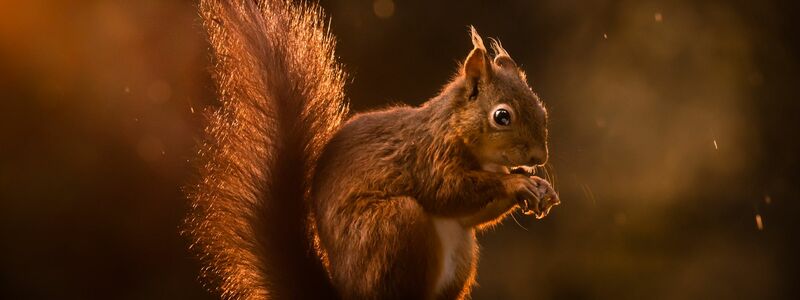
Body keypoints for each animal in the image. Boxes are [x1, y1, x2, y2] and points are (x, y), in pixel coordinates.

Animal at [184, 0, 560, 300]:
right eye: (502, 116)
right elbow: (447, 191)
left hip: (459, 254)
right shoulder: (429, 156)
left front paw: (538, 186)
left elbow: (470, 215)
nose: (539, 158)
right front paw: (518, 183)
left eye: (542, 108)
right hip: (391, 228)